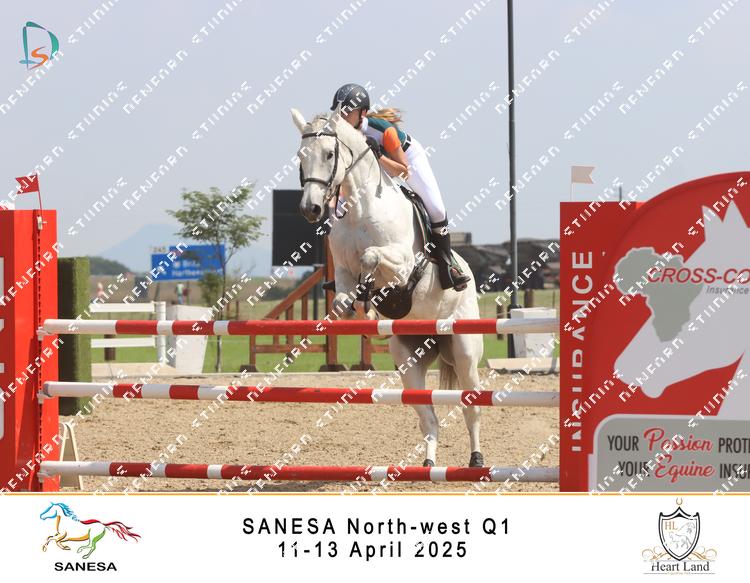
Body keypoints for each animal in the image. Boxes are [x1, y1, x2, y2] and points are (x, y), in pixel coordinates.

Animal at [291, 107, 485, 467]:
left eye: (329, 154)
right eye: (301, 157)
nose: (311, 209)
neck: (359, 208)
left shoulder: (404, 265)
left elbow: (371, 257)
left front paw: (369, 299)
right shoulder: (342, 272)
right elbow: (342, 300)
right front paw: (364, 311)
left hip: (464, 349)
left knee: (472, 407)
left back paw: (476, 459)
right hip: (409, 357)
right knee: (429, 417)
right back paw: (429, 464)